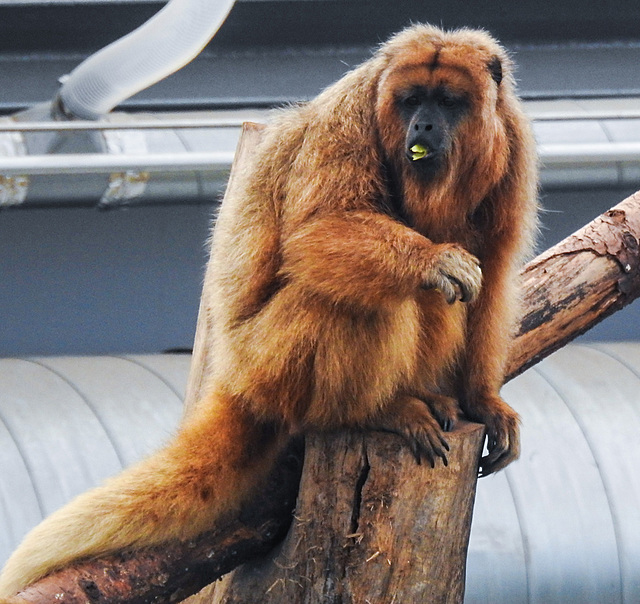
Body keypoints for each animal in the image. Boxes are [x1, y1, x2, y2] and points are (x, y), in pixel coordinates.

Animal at [0, 24, 536, 600]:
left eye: (448, 102)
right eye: (412, 99)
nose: (424, 125)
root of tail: (233, 375)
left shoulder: (514, 143)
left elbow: (495, 274)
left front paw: (484, 401)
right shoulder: (344, 121)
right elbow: (318, 231)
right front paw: (432, 259)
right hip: (271, 365)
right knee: (355, 295)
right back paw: (378, 409)